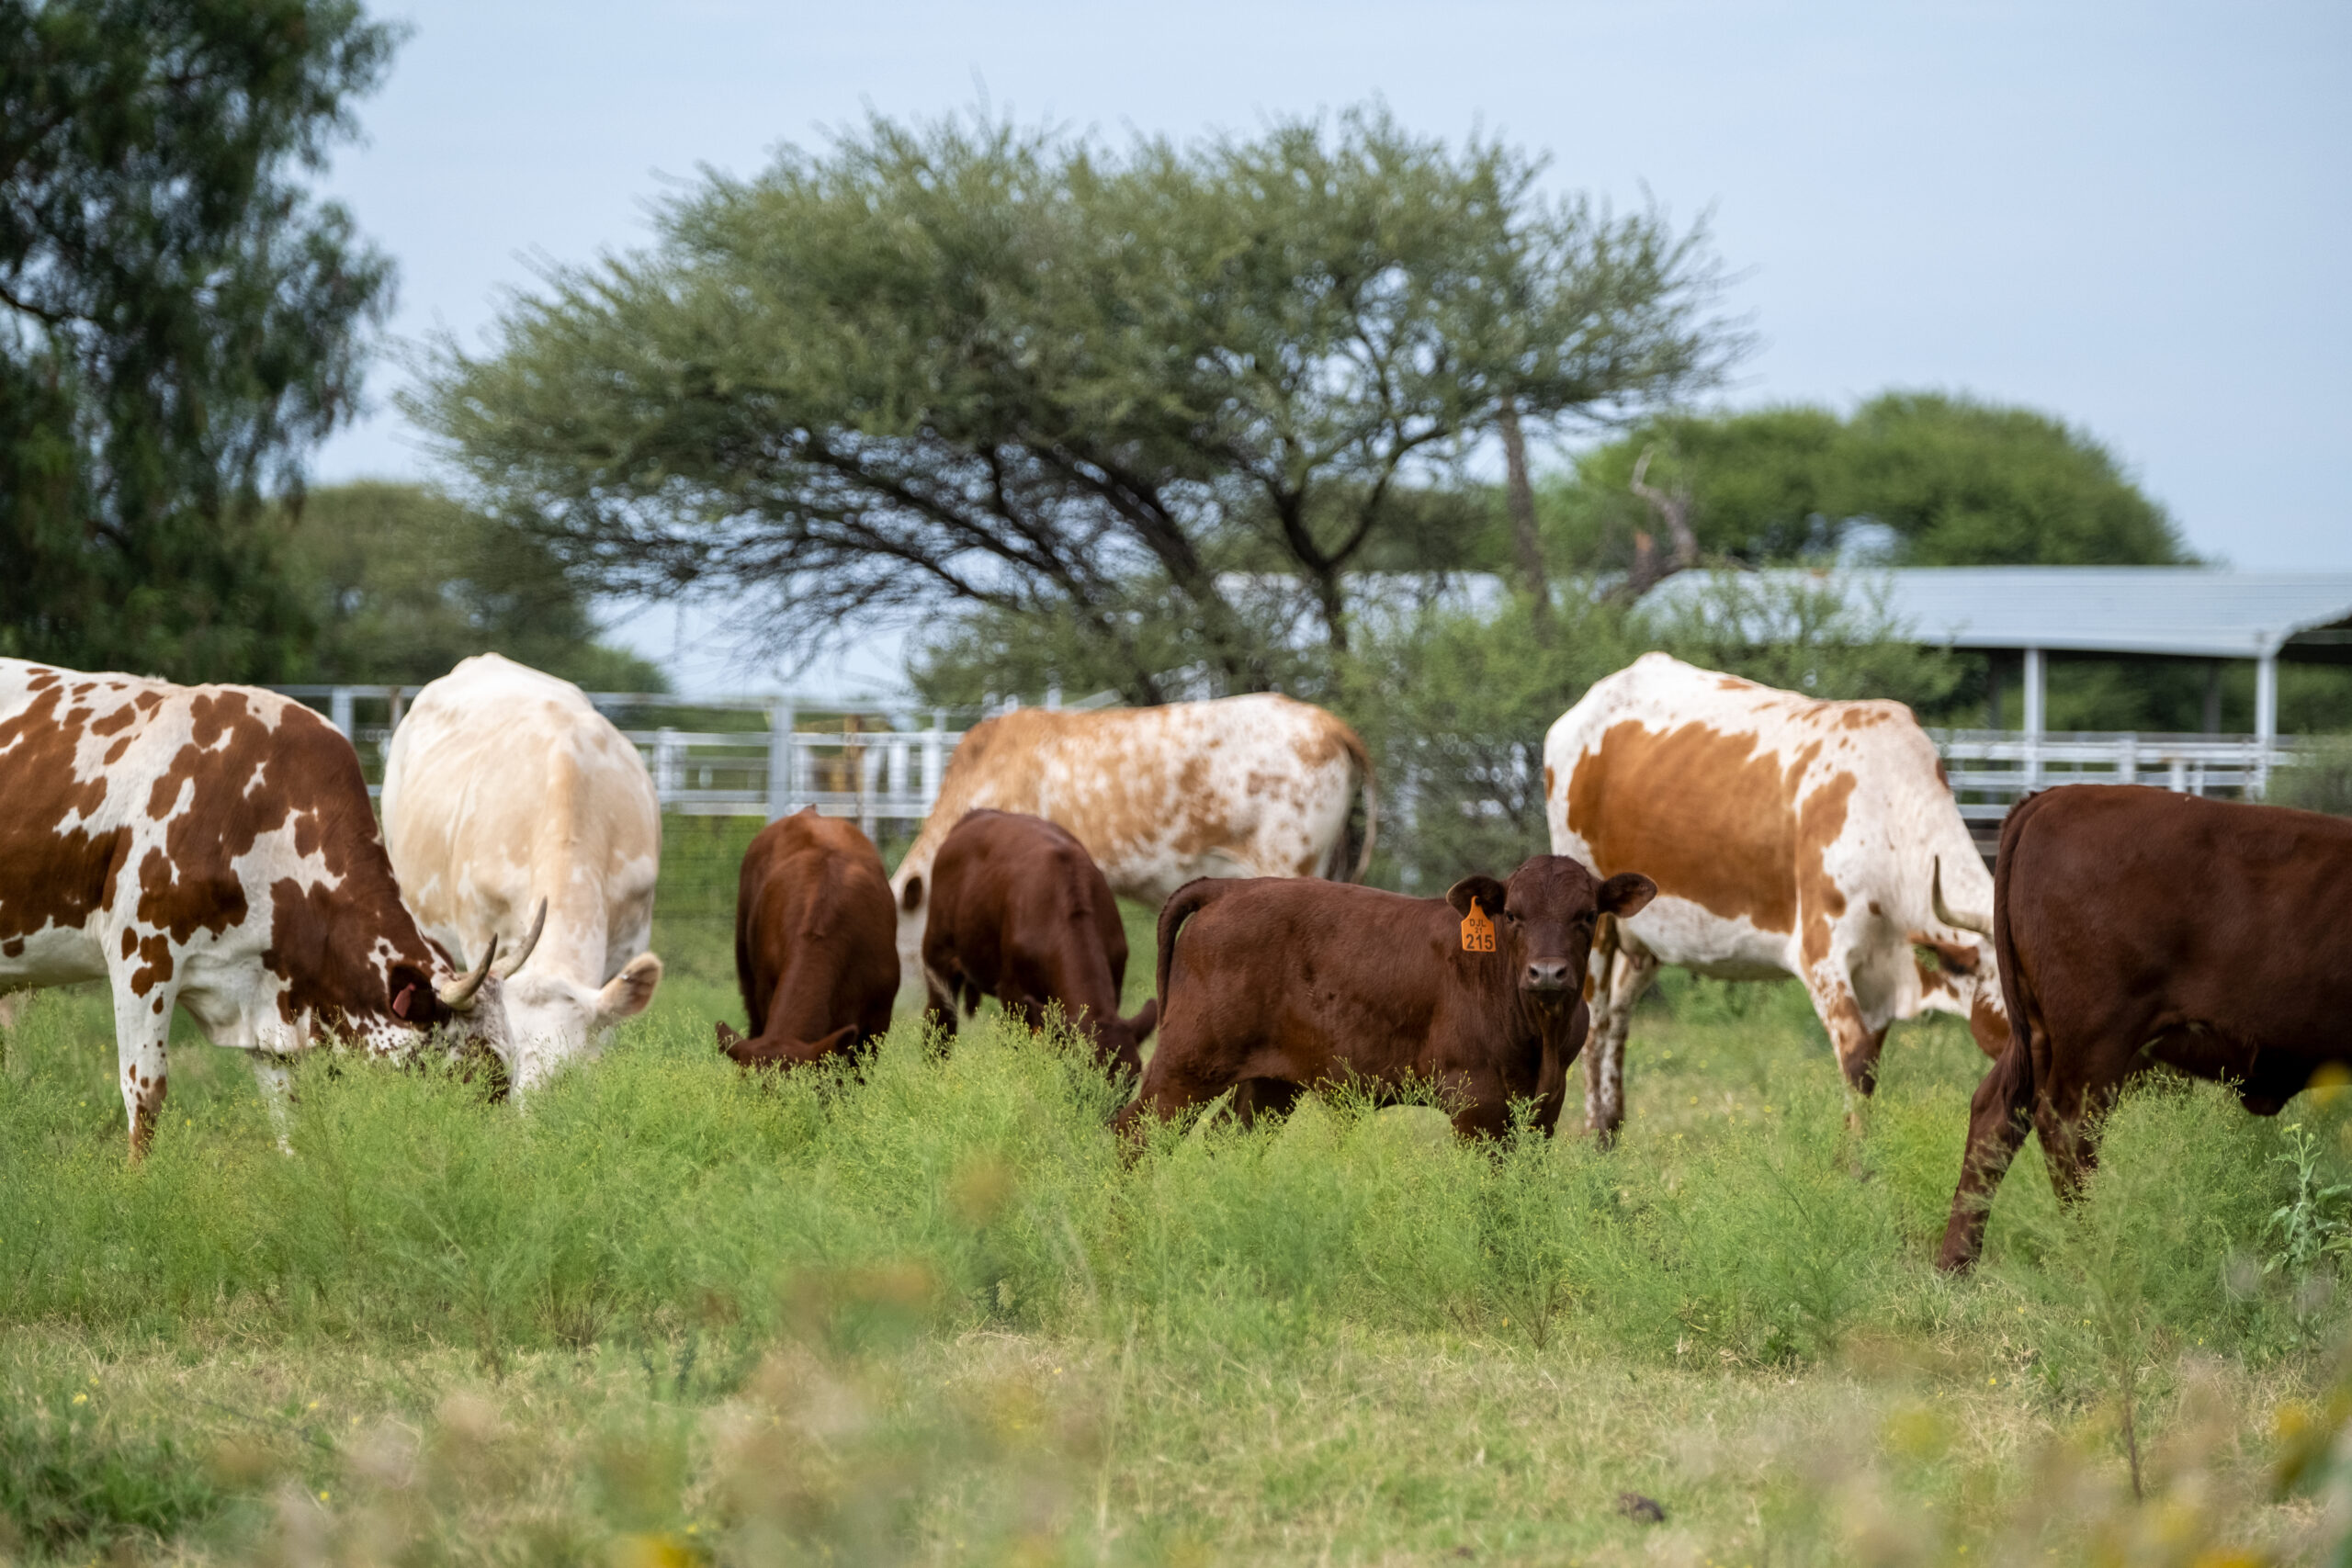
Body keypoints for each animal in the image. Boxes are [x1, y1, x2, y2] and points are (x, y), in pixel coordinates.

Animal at [0, 659, 522, 1157]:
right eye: (468, 1069)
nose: (493, 1159)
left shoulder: (270, 1010)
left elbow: (289, 1119)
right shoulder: (142, 958)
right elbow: (145, 1097)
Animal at [919, 810, 1158, 1075]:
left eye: (1133, 1078)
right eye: (1076, 1072)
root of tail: (978, 815)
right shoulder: (1013, 994)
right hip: (938, 959)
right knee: (938, 1025)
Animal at [1115, 856, 1657, 1141]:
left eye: (1587, 916)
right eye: (1513, 916)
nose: (1547, 973)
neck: (1537, 1032)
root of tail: (1228, 887)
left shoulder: (1545, 1108)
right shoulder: (1476, 1104)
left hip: (1269, 1083)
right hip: (1187, 1062)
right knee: (1132, 1133)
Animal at [1544, 652, 2006, 1139]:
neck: (1888, 813)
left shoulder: (1880, 973)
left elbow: (1869, 1068)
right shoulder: (1822, 956)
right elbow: (1857, 1061)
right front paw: (1856, 1160)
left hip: (1646, 936)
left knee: (1617, 1017)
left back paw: (1611, 1130)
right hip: (1595, 920)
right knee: (1595, 1021)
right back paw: (1592, 1131)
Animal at [1937, 785, 2352, 1271]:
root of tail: (2052, 797)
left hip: (2040, 1035)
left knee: (1997, 1113)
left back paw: (1956, 1265)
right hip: (2096, 1038)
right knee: (2068, 1129)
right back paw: (2094, 1258)